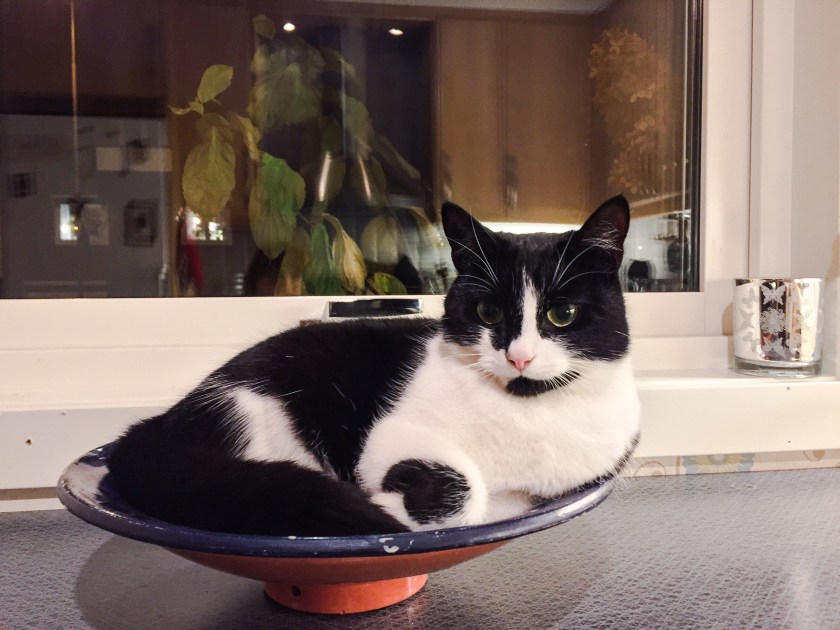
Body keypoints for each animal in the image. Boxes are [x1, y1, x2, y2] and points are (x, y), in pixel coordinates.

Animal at [108, 196, 640, 536]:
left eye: (562, 314)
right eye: (489, 312)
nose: (519, 356)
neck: (525, 411)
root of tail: (163, 421)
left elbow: (491, 502)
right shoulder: (391, 435)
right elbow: (462, 489)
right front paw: (385, 503)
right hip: (252, 414)